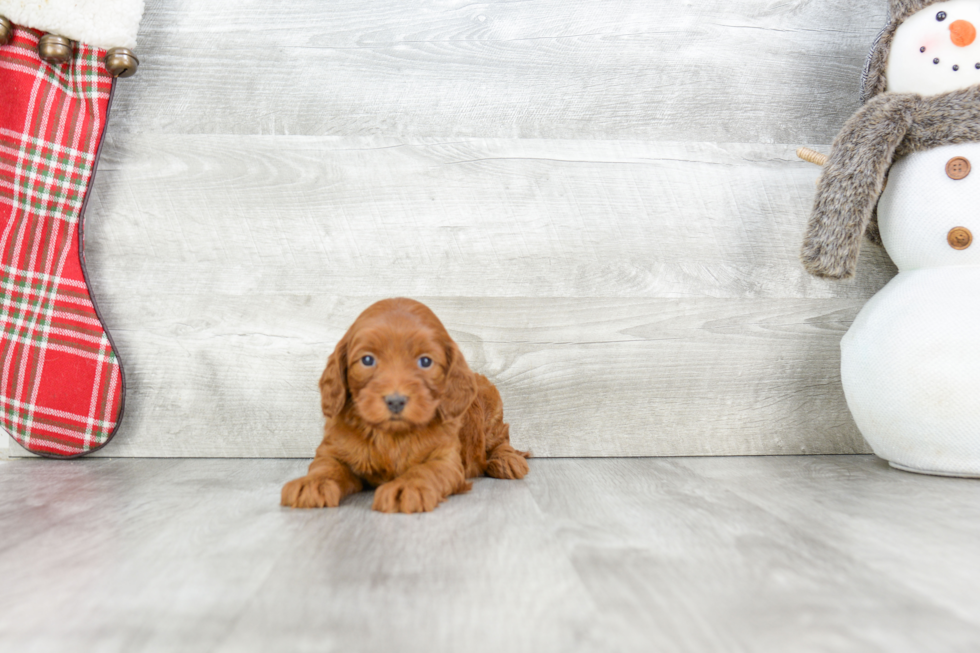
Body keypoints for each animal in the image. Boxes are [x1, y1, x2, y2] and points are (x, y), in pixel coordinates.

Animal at [280, 296, 532, 516]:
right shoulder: (334, 449)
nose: (395, 401)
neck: (391, 435)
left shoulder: (446, 460)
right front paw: (311, 484)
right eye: (367, 360)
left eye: (425, 361)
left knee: (500, 440)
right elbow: (325, 466)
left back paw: (507, 461)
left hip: (491, 404)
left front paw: (406, 488)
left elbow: (426, 470)